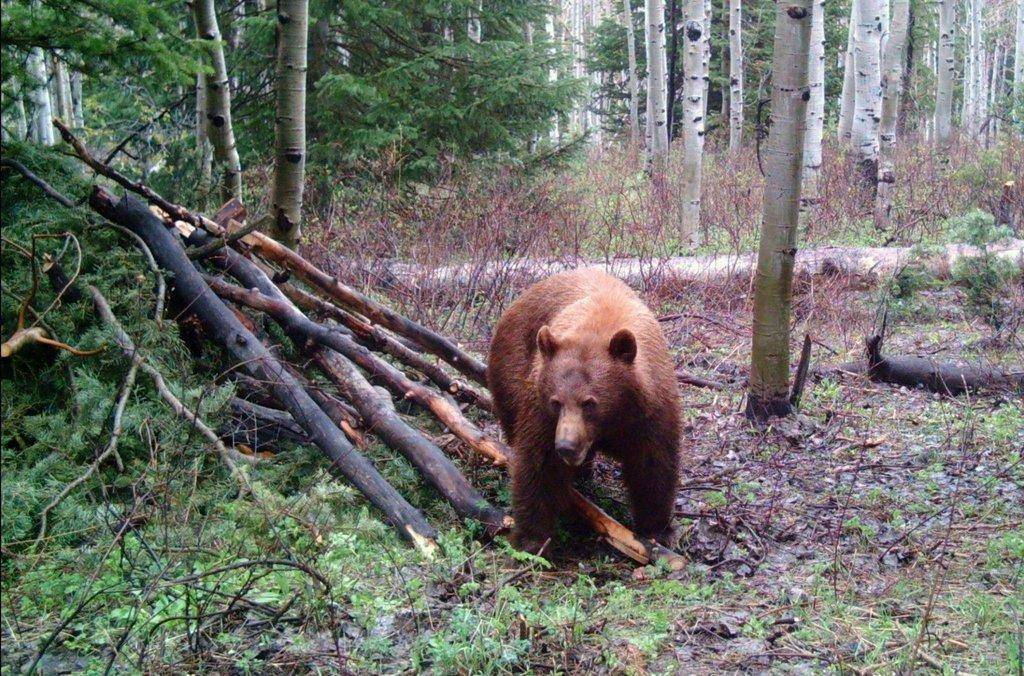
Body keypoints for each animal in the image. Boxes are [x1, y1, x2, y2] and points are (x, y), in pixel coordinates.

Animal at [485, 268, 679, 553]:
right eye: (556, 402)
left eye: (590, 402)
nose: (566, 446)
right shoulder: (542, 411)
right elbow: (540, 465)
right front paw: (532, 539)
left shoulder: (650, 411)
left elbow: (653, 464)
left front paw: (657, 530)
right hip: (512, 370)